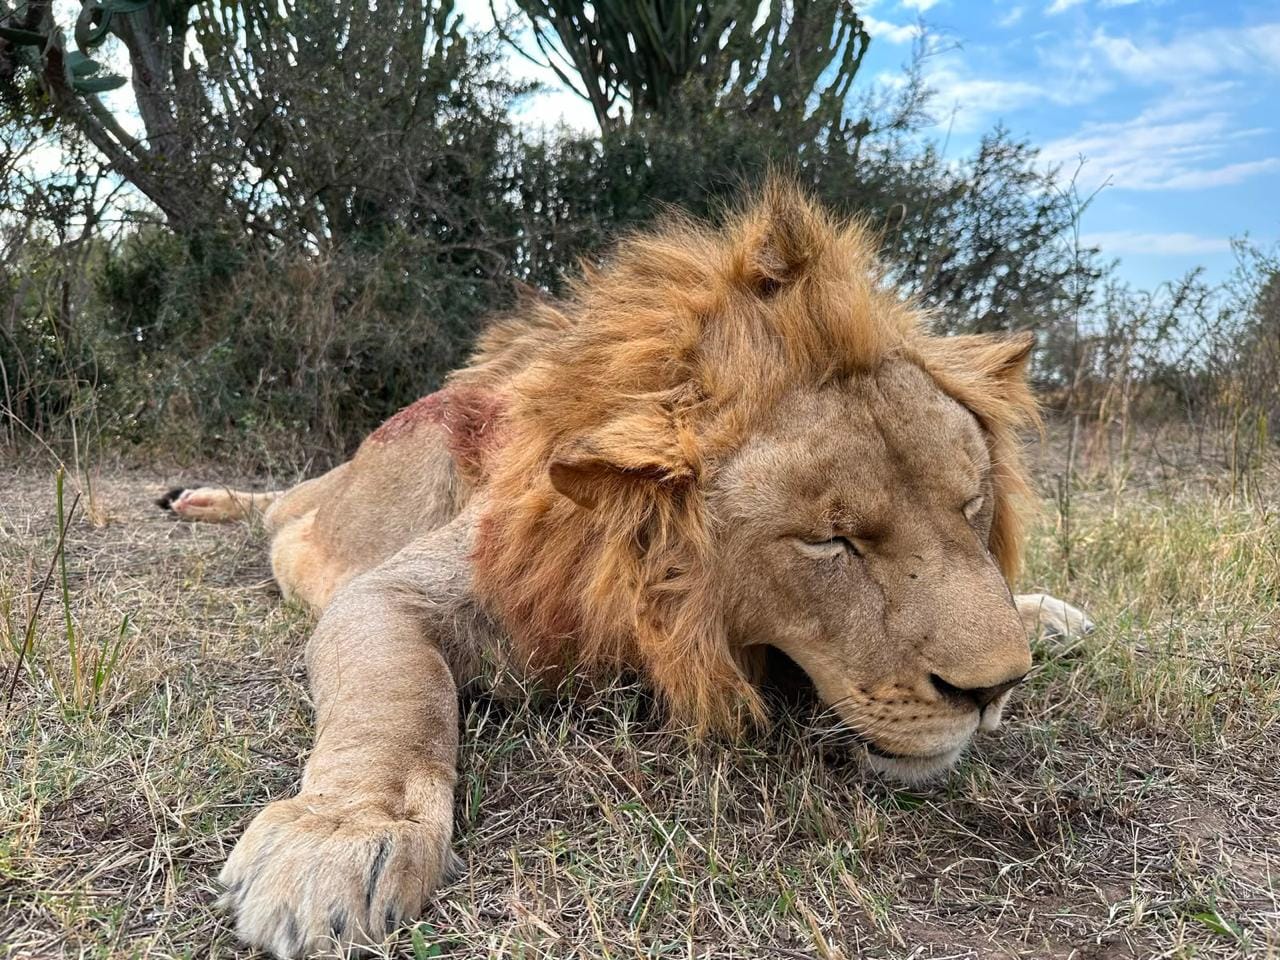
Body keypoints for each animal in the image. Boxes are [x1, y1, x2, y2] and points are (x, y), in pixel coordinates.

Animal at [158, 181, 1092, 957]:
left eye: (971, 505)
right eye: (831, 542)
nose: (994, 689)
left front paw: (1040, 611)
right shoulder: (390, 591)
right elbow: (399, 697)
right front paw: (339, 837)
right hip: (333, 507)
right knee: (282, 508)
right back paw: (197, 499)